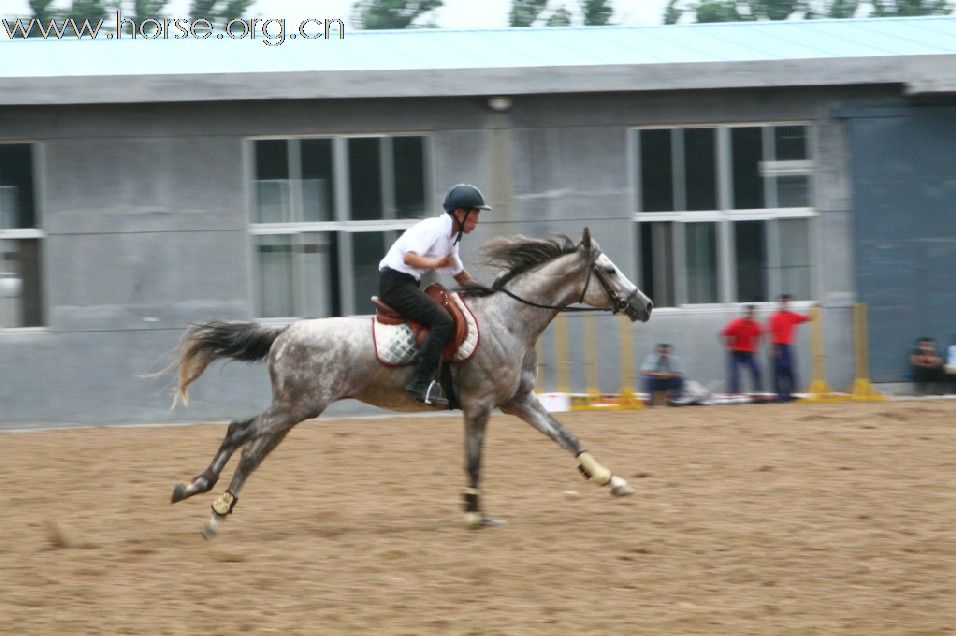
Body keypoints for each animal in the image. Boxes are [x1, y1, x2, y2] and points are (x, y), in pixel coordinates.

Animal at [170, 227, 648, 536]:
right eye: (609, 269)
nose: (644, 304)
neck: (508, 320)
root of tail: (285, 331)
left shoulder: (518, 400)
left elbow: (566, 436)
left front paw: (612, 481)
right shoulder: (480, 404)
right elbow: (474, 461)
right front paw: (475, 515)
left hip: (292, 411)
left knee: (252, 453)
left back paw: (218, 511)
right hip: (298, 406)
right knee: (239, 432)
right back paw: (196, 490)